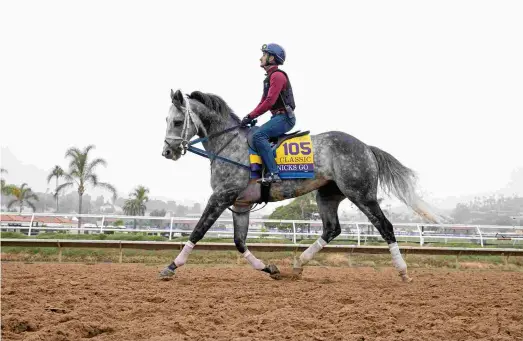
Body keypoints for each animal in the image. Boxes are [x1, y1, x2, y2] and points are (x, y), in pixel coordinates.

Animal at [161, 89, 446, 280]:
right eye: (166, 120)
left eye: (177, 121)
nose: (167, 152)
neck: (229, 144)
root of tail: (366, 147)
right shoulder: (240, 205)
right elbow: (239, 242)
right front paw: (269, 268)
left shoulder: (221, 196)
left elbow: (198, 231)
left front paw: (172, 266)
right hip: (328, 195)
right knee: (332, 229)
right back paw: (299, 263)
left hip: (362, 194)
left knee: (385, 226)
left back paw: (403, 271)